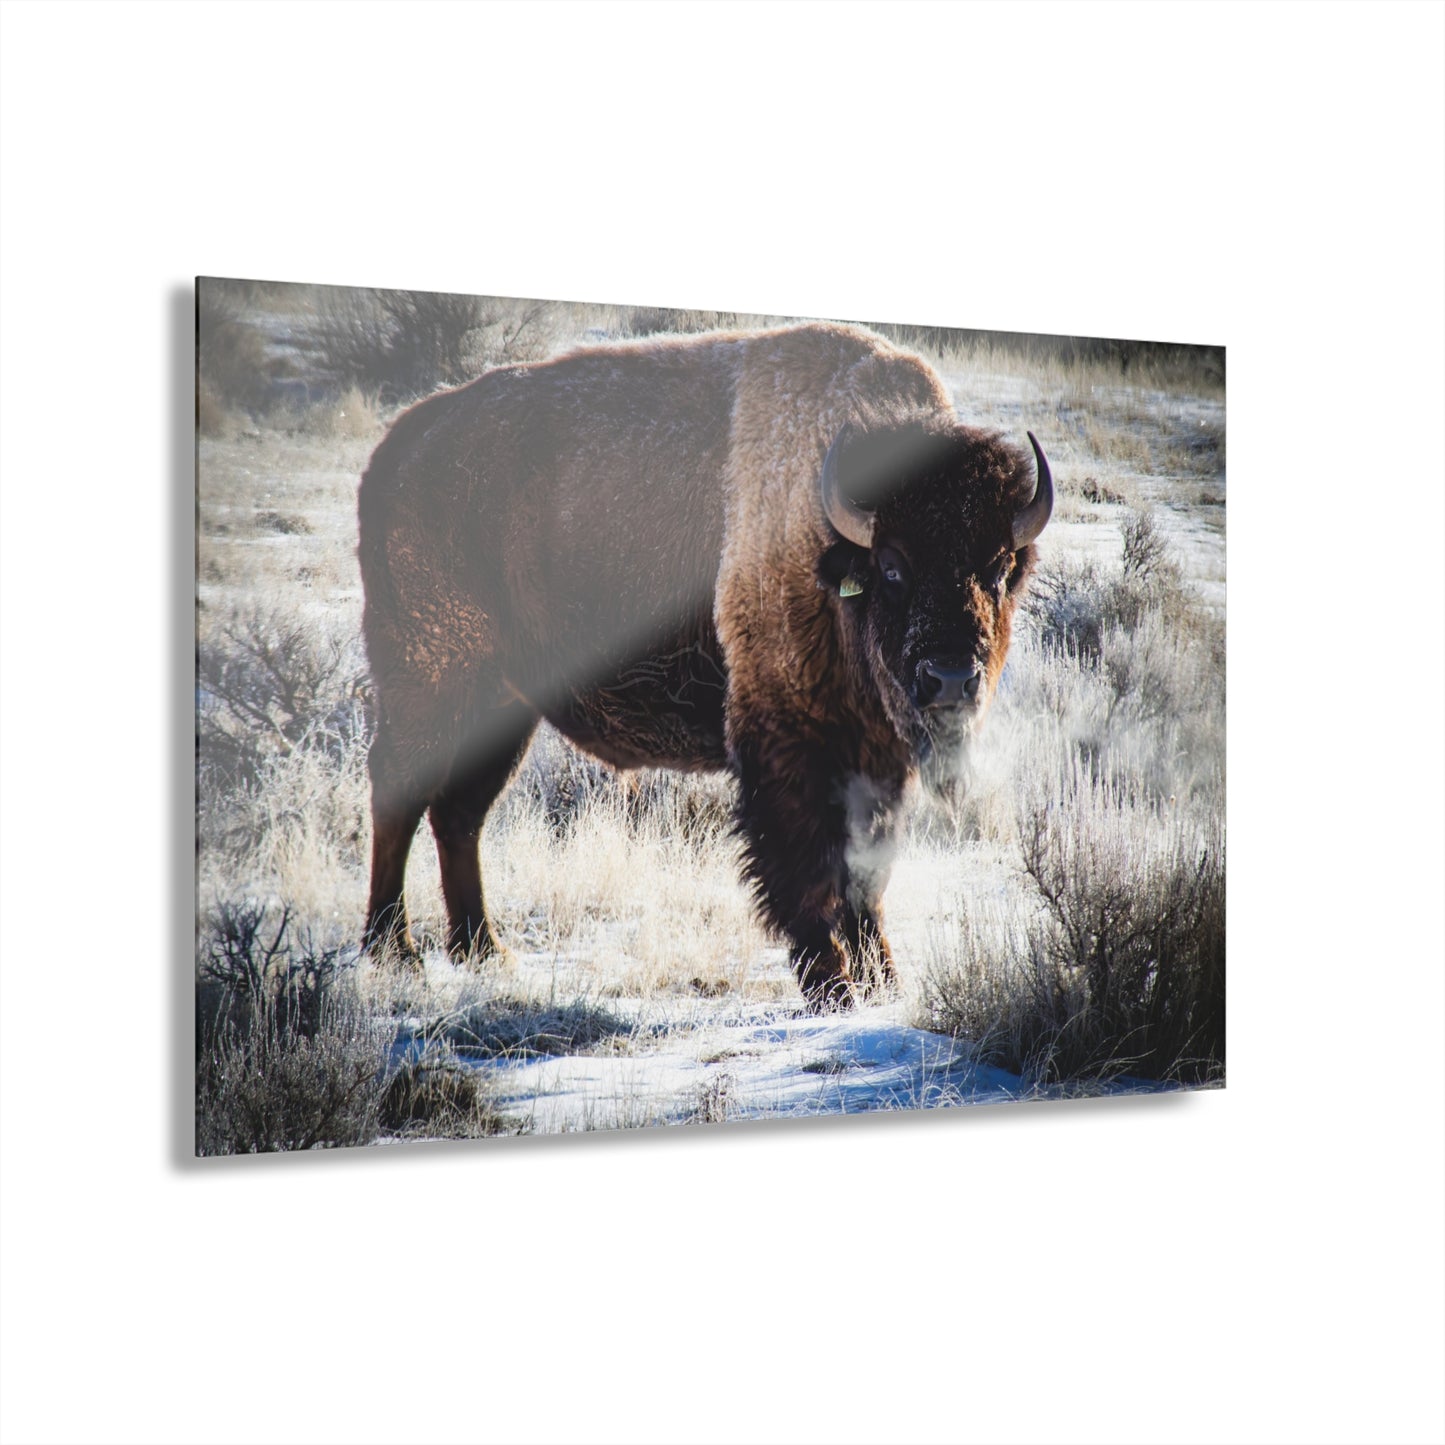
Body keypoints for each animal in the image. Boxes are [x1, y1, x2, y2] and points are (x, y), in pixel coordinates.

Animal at [357, 322, 1052, 1007]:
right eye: (892, 567)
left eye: (998, 569)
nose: (950, 679)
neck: (829, 542)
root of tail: (396, 449)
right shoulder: (790, 741)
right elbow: (809, 866)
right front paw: (832, 987)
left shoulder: (876, 757)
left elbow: (867, 872)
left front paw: (883, 981)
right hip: (431, 685)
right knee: (399, 797)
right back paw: (395, 950)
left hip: (503, 709)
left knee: (459, 814)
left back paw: (482, 950)